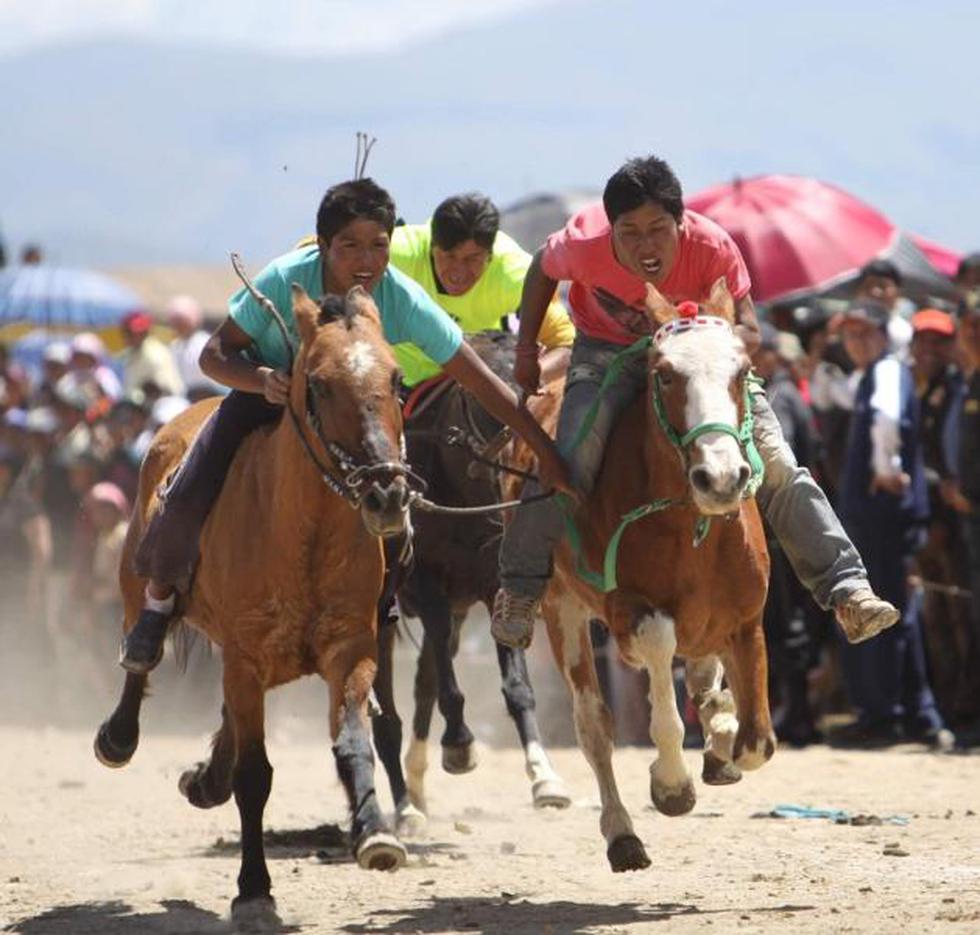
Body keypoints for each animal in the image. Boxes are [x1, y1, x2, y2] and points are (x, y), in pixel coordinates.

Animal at [93, 286, 414, 924]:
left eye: (396, 380)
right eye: (319, 385)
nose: (386, 494)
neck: (303, 531)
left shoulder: (352, 647)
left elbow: (352, 740)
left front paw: (375, 834)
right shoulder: (245, 657)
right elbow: (254, 777)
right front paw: (254, 891)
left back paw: (204, 778)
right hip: (135, 579)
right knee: (141, 654)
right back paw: (119, 734)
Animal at [372, 331, 570, 837]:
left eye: (534, 398)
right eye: (477, 399)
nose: (515, 458)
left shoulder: (495, 585)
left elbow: (517, 687)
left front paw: (544, 777)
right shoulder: (427, 588)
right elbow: (448, 686)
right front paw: (460, 743)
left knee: (423, 682)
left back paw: (417, 786)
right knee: (396, 709)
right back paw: (408, 803)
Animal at [514, 279, 774, 873]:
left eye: (743, 370)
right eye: (666, 373)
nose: (721, 477)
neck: (692, 526)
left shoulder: (747, 619)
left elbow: (755, 742)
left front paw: (723, 733)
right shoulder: (629, 609)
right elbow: (659, 681)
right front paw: (671, 784)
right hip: (562, 609)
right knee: (594, 727)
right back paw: (622, 834)